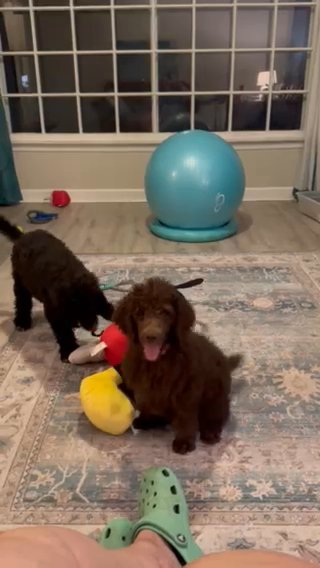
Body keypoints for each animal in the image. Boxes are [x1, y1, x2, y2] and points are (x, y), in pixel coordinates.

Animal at [0, 215, 114, 362]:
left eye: (91, 307)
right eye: (76, 311)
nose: (92, 327)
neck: (69, 278)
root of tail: (23, 236)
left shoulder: (92, 289)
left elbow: (103, 303)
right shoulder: (54, 309)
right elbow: (62, 331)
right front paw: (69, 350)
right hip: (20, 280)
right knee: (22, 301)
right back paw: (22, 322)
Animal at [114, 278, 241, 454]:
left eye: (164, 312)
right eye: (139, 313)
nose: (150, 337)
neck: (158, 361)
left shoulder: (186, 391)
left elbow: (185, 416)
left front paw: (184, 440)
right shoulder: (144, 388)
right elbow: (146, 402)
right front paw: (147, 418)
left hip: (216, 395)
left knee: (218, 414)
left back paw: (210, 432)